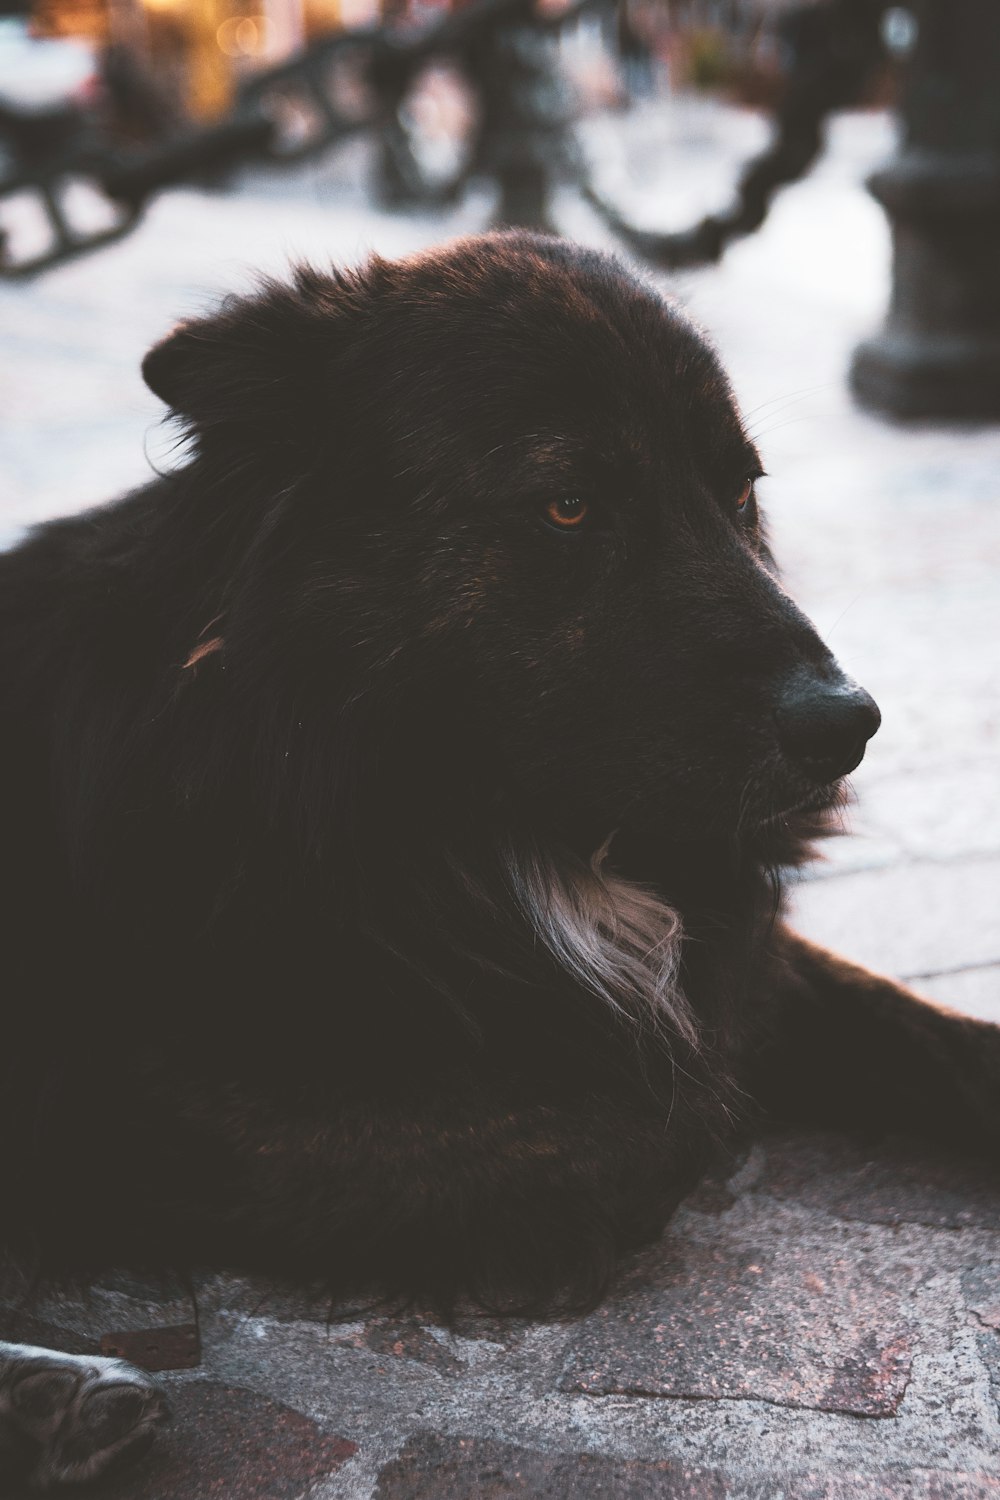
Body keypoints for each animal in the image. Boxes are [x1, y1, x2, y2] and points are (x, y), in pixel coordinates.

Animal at [1, 234, 1000, 1488]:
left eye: (739, 492)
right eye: (568, 505)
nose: (846, 726)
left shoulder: (738, 961)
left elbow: (927, 1033)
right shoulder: (144, 1091)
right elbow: (622, 1133)